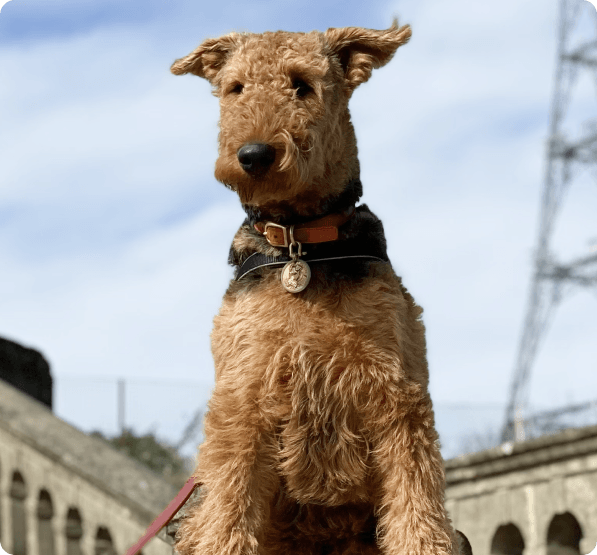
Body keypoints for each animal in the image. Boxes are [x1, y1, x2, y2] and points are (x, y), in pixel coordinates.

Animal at [170, 20, 468, 555]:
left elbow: (416, 507)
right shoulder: (243, 399)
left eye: (301, 85)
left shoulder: (398, 397)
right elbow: (228, 512)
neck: (301, 245)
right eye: (235, 88)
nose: (253, 155)